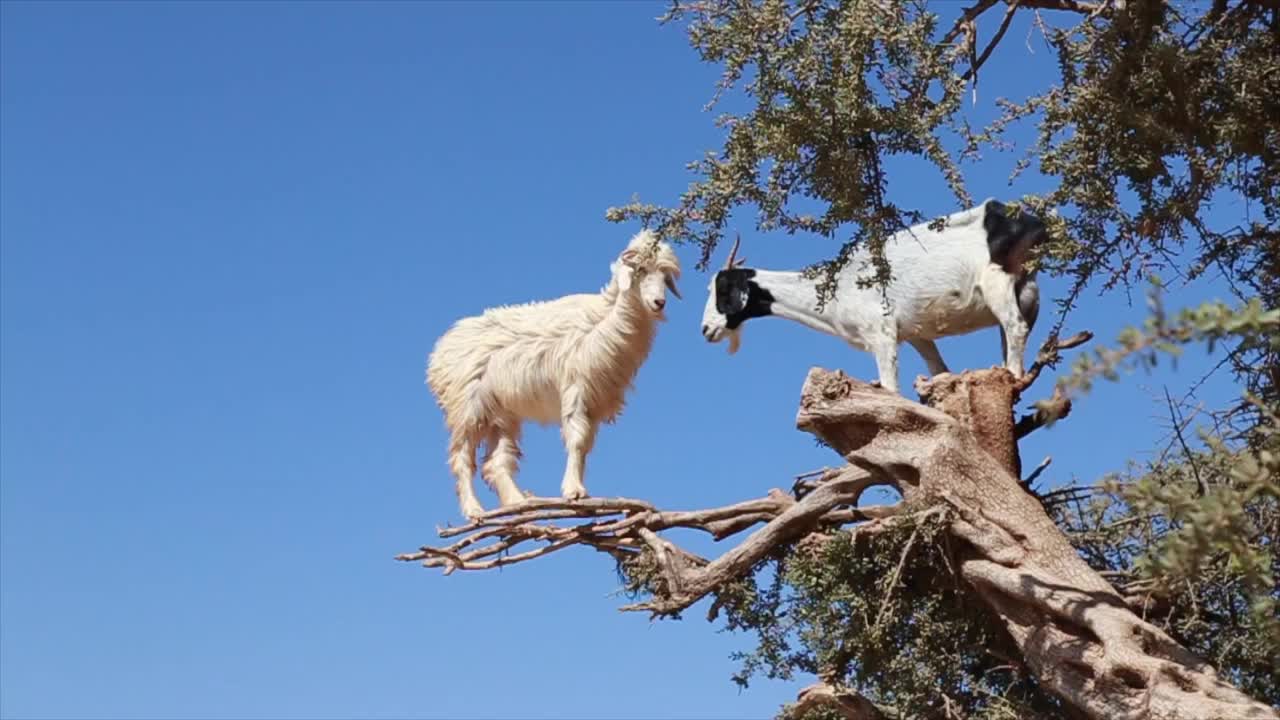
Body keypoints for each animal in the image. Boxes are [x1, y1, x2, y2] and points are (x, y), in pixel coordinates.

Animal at [424, 233, 680, 517]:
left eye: (665, 275)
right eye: (641, 270)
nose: (659, 303)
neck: (606, 319)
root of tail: (439, 352)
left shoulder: (593, 401)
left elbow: (585, 445)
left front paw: (578, 490)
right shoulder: (575, 387)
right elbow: (576, 439)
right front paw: (574, 491)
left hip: (501, 414)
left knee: (496, 463)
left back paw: (518, 503)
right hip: (465, 409)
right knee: (461, 459)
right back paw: (474, 510)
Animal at [701, 197, 1039, 392]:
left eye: (723, 288)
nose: (706, 329)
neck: (837, 286)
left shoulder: (882, 334)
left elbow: (891, 391)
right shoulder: (915, 333)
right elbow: (939, 369)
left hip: (997, 281)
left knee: (1015, 326)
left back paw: (1013, 376)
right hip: (1027, 291)